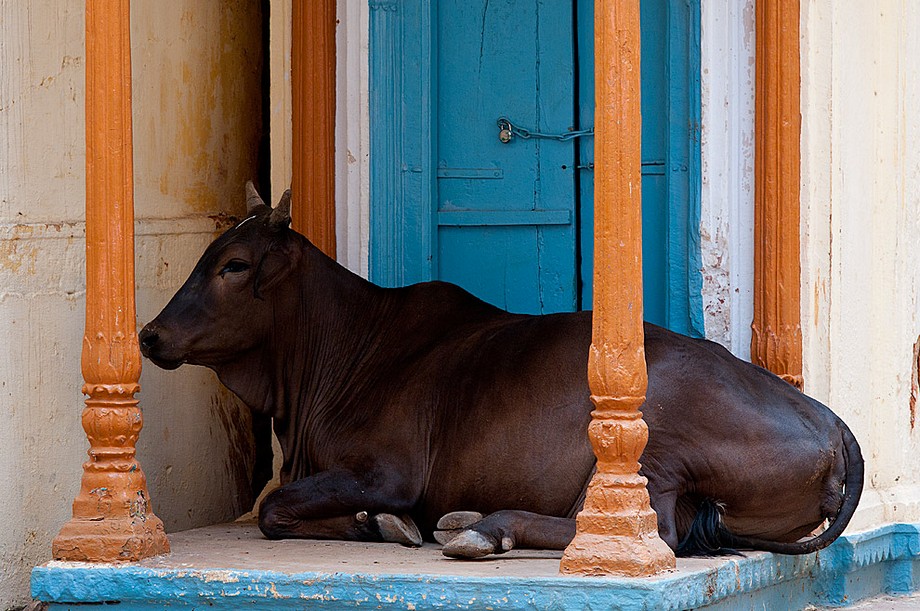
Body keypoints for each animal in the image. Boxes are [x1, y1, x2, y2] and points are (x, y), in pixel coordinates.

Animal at [137, 184, 864, 560]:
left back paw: (485, 527)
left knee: (648, 531)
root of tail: (835, 424)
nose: (149, 334)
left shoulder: (388, 470)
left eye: (234, 264)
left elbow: (275, 508)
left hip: (659, 441)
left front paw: (381, 523)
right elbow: (276, 506)